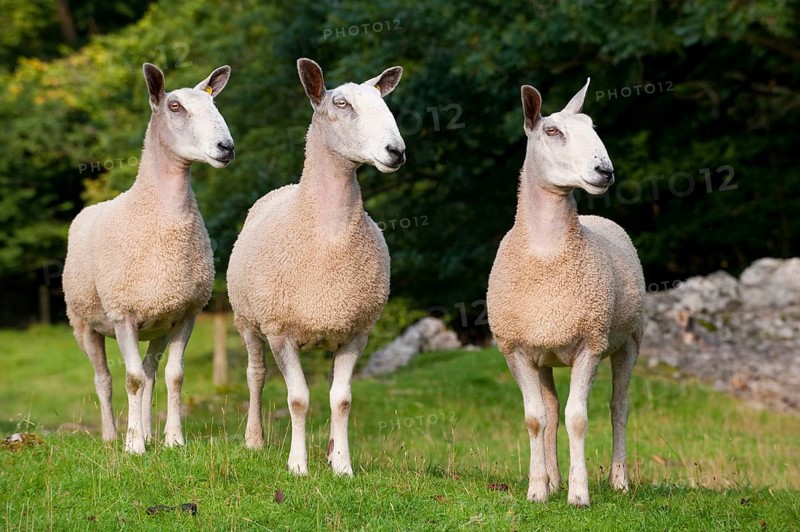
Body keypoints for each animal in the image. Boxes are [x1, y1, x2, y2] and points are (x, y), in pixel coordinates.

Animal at [62, 63, 235, 454]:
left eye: (213, 104)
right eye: (175, 106)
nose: (226, 147)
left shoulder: (186, 313)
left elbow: (173, 376)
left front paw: (173, 439)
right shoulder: (122, 313)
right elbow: (132, 380)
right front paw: (133, 446)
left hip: (158, 322)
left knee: (151, 370)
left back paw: (149, 431)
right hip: (84, 323)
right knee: (104, 378)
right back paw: (112, 435)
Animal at [227, 58, 405, 476]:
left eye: (383, 103)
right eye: (342, 104)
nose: (396, 151)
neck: (327, 235)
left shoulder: (357, 331)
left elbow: (341, 399)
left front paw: (342, 465)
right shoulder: (280, 331)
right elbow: (298, 399)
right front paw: (297, 465)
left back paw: (328, 449)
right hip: (247, 319)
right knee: (255, 375)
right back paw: (254, 440)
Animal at [486, 79, 645, 507]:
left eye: (593, 127)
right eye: (552, 131)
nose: (604, 170)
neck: (547, 254)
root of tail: (597, 217)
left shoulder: (590, 343)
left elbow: (579, 417)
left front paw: (579, 493)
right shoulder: (516, 348)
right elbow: (536, 418)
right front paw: (538, 489)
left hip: (630, 338)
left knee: (619, 406)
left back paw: (619, 481)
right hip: (545, 353)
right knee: (552, 411)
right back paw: (552, 480)